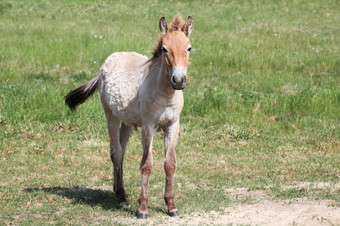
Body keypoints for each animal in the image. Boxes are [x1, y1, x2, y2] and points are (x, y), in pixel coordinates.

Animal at [65, 14, 193, 219]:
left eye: (189, 48)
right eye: (165, 49)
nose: (179, 81)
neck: (164, 93)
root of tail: (107, 62)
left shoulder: (173, 125)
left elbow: (170, 163)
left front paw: (171, 206)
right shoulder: (148, 127)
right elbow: (146, 164)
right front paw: (142, 209)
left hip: (127, 122)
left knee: (122, 151)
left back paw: (117, 189)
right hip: (111, 116)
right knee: (115, 151)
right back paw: (122, 196)